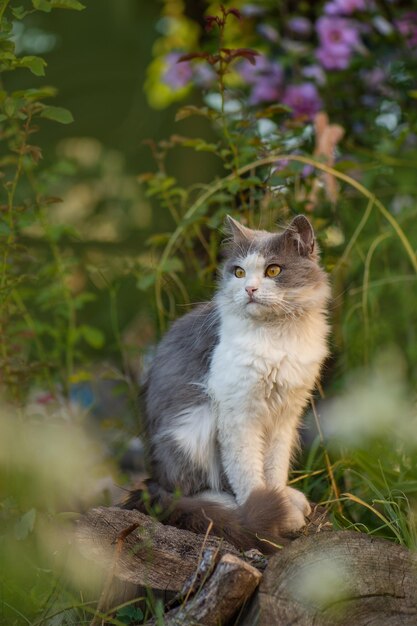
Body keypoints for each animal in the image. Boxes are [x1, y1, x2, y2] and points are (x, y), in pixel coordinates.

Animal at [123, 213, 328, 552]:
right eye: (239, 272)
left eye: (273, 270)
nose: (250, 289)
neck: (277, 337)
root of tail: (153, 476)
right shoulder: (238, 414)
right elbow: (248, 476)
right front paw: (264, 515)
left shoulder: (285, 415)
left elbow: (274, 470)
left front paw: (281, 504)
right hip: (194, 425)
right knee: (185, 490)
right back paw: (227, 507)